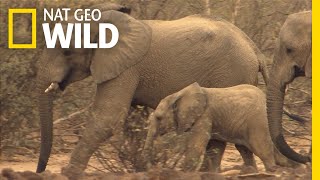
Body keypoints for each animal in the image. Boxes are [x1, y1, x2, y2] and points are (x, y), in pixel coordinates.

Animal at [36, 3, 268, 178]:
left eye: (66, 51)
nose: (40, 171)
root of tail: (254, 47)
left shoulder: (126, 68)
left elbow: (108, 117)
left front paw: (69, 172)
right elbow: (131, 121)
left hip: (231, 73)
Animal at [142, 82, 298, 172]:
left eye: (159, 118)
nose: (150, 166)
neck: (178, 94)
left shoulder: (204, 116)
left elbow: (196, 145)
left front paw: (183, 172)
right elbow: (216, 146)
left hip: (257, 122)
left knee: (260, 147)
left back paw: (271, 170)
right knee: (245, 149)